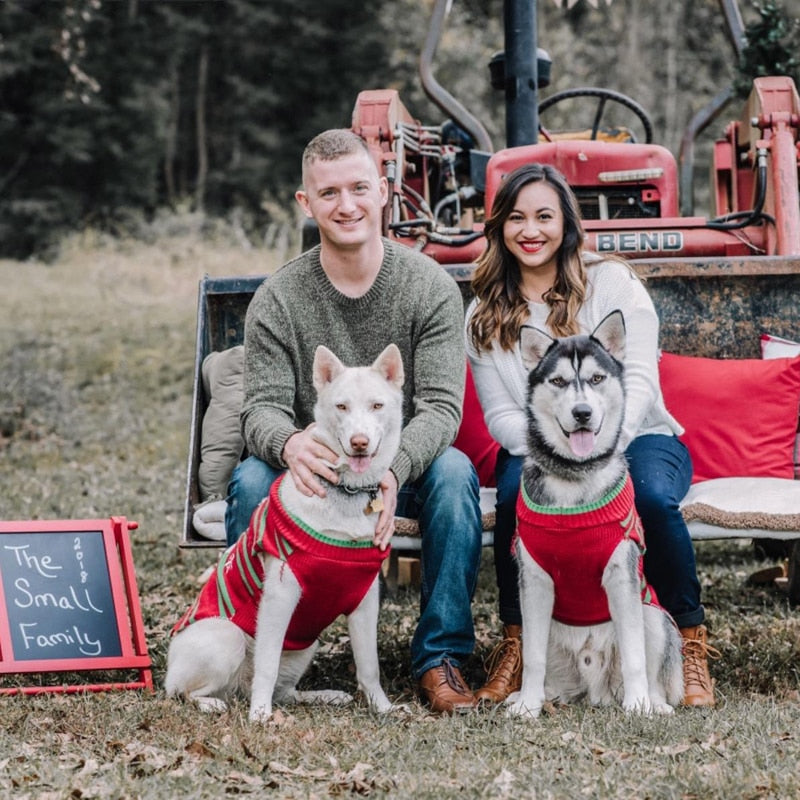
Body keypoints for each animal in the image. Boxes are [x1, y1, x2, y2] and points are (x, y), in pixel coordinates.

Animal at [170, 346, 406, 720]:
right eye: (341, 406)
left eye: (377, 405)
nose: (359, 443)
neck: (345, 492)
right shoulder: (279, 598)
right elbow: (266, 666)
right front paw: (259, 715)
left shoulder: (365, 602)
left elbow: (369, 666)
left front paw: (382, 708)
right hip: (228, 637)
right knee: (184, 692)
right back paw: (215, 702)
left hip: (304, 647)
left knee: (285, 692)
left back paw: (322, 696)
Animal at [506, 310, 680, 720]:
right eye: (558, 381)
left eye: (597, 379)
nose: (581, 412)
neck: (575, 476)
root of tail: (597, 690)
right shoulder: (534, 582)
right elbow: (533, 658)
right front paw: (527, 707)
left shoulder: (622, 578)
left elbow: (634, 655)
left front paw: (638, 705)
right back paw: (536, 696)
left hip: (654, 614)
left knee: (651, 666)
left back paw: (654, 702)